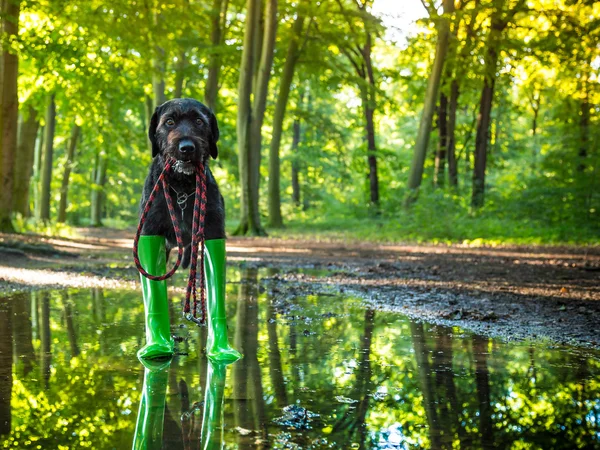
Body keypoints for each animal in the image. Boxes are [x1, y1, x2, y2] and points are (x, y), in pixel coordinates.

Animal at [139, 98, 226, 266]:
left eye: (199, 121)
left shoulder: (214, 231)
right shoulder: (150, 231)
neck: (182, 189)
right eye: (169, 121)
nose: (186, 147)